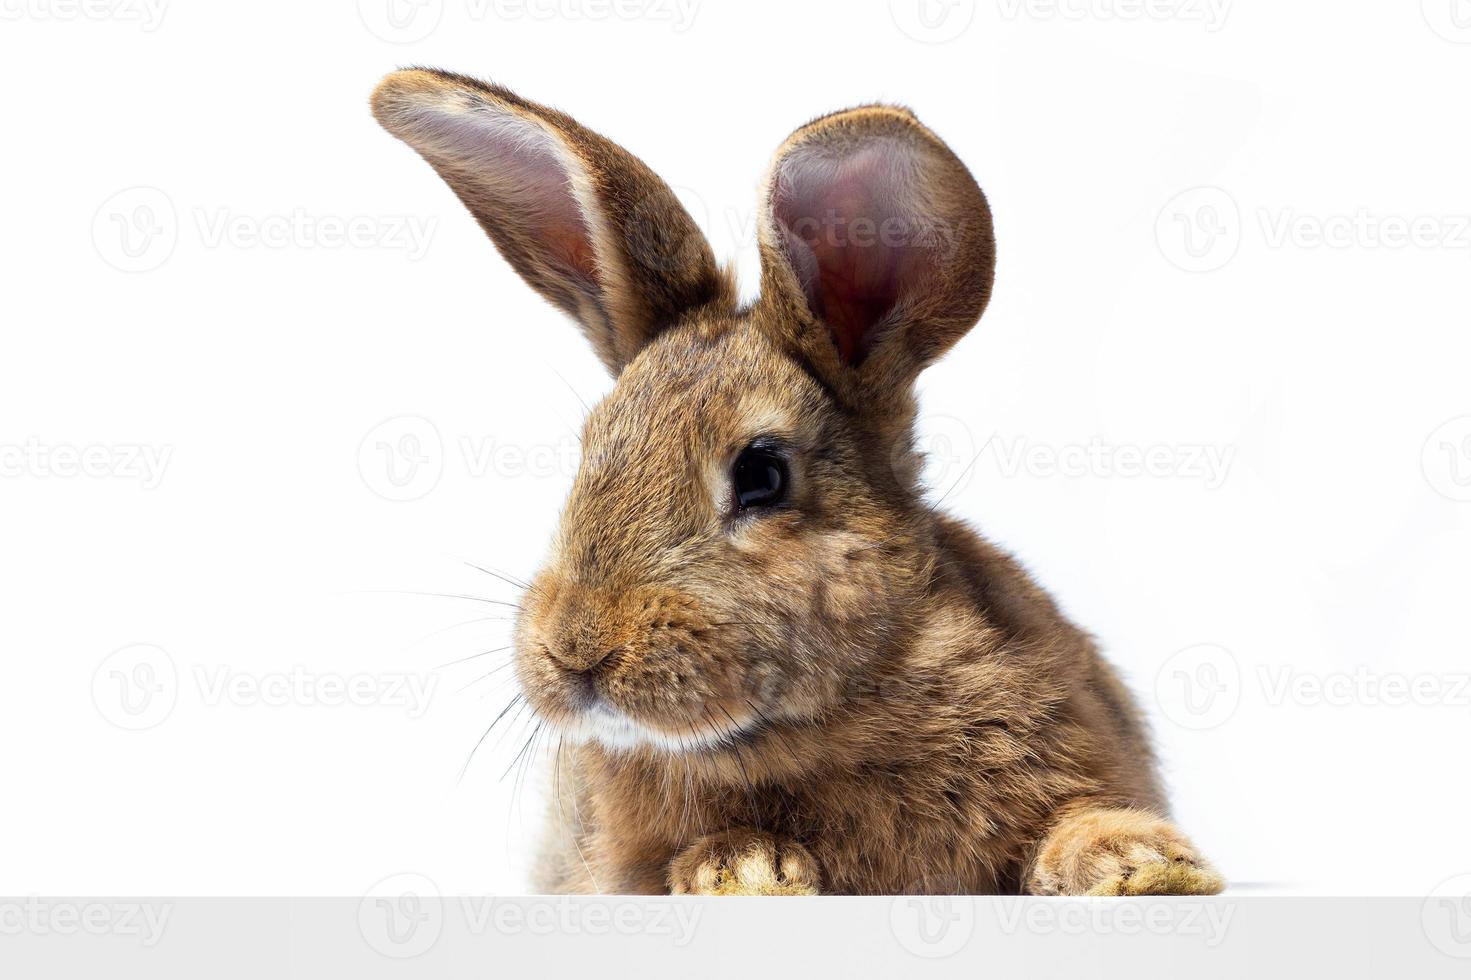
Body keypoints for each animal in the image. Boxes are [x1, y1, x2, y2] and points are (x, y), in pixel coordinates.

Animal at [373, 66, 1223, 894]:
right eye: (589, 451)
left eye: (761, 475)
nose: (576, 651)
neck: (842, 707)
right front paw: (741, 866)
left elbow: (1071, 820)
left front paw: (1141, 862)